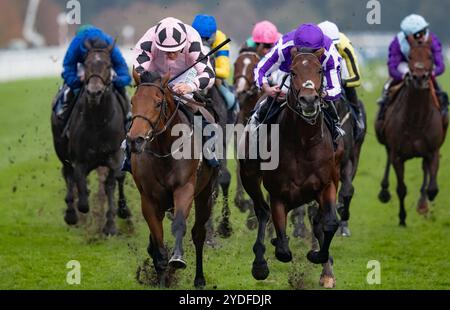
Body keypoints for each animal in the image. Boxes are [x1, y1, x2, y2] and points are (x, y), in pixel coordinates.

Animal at [51, 39, 132, 235]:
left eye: (109, 65)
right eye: (86, 64)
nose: (94, 92)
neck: (98, 122)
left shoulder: (115, 156)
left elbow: (111, 183)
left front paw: (111, 224)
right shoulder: (80, 160)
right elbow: (82, 197)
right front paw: (76, 209)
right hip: (61, 149)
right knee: (67, 174)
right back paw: (71, 213)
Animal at [127, 70, 219, 288]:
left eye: (158, 103)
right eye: (133, 101)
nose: (135, 140)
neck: (164, 151)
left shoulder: (184, 189)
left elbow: (179, 224)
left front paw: (177, 259)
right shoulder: (149, 200)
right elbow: (157, 239)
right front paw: (161, 278)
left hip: (205, 195)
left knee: (198, 233)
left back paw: (199, 278)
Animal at [239, 48, 342, 288]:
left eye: (320, 70)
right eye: (293, 72)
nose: (309, 100)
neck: (303, 141)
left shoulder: (327, 185)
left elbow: (330, 223)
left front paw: (318, 257)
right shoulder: (279, 194)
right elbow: (283, 251)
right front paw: (271, 252)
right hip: (249, 176)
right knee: (262, 210)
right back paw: (260, 263)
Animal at [376, 36, 446, 225]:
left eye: (430, 56)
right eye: (409, 56)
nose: (419, 77)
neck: (416, 120)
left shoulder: (433, 151)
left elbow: (432, 188)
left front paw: (423, 205)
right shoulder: (398, 155)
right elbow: (401, 188)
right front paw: (402, 219)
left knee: (425, 170)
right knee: (387, 157)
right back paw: (384, 191)